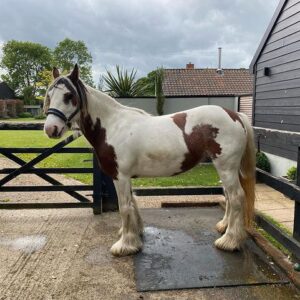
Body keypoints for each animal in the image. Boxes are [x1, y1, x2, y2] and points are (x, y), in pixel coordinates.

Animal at [44, 64, 255, 256]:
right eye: (49, 95)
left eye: (68, 96)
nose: (50, 129)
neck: (112, 125)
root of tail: (235, 115)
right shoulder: (125, 177)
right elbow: (133, 203)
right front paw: (135, 234)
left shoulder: (120, 177)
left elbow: (124, 207)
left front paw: (125, 246)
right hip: (225, 169)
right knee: (228, 197)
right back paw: (224, 227)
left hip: (226, 167)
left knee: (236, 197)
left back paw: (229, 241)